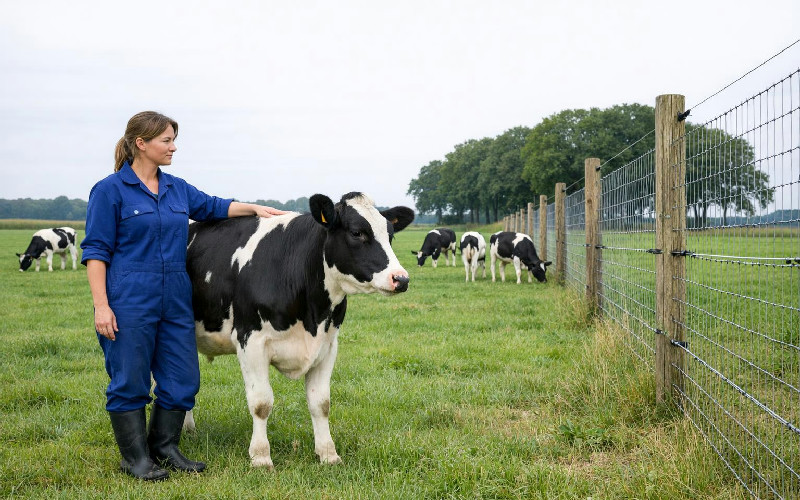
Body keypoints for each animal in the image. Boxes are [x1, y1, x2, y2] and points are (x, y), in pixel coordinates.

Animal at [183, 193, 414, 469]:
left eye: (390, 235)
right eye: (357, 233)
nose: (401, 279)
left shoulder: (328, 345)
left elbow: (321, 403)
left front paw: (328, 453)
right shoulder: (250, 340)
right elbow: (261, 402)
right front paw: (261, 457)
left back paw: (188, 429)